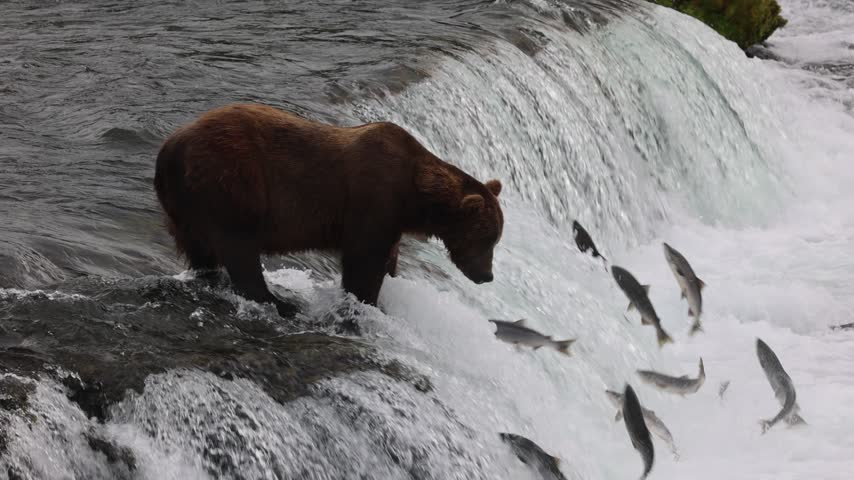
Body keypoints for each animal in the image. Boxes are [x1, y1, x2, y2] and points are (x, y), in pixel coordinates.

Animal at [154, 103, 504, 317]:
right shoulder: (374, 199)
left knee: (200, 248)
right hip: (232, 182)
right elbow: (363, 261)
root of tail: (170, 147)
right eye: (486, 239)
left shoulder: (391, 219)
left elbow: (386, 257)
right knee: (239, 248)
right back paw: (280, 303)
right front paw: (367, 301)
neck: (414, 196)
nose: (487, 276)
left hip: (184, 206)